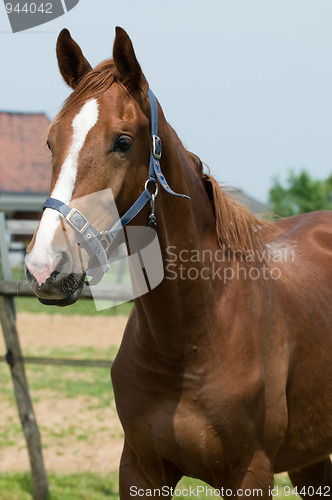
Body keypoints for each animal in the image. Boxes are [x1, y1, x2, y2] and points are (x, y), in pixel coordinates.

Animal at [26, 28, 332, 500]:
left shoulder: (250, 474)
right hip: (309, 458)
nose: (46, 266)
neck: (190, 336)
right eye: (51, 141)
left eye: (123, 142)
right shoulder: (140, 469)